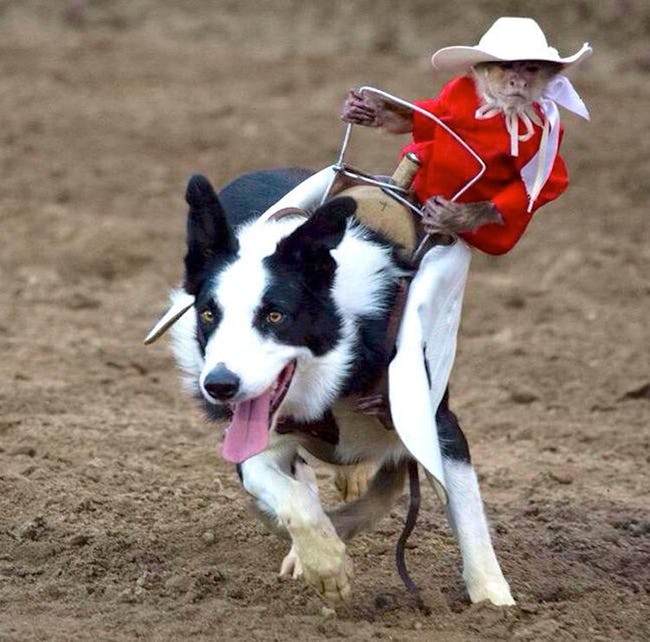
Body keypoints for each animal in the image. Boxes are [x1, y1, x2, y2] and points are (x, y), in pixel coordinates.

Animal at [158, 170, 512, 604]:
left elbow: (466, 509)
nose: (220, 385)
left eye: (275, 315)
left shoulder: (435, 421)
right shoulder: (256, 443)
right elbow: (293, 498)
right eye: (208, 314)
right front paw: (328, 565)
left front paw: (495, 601)